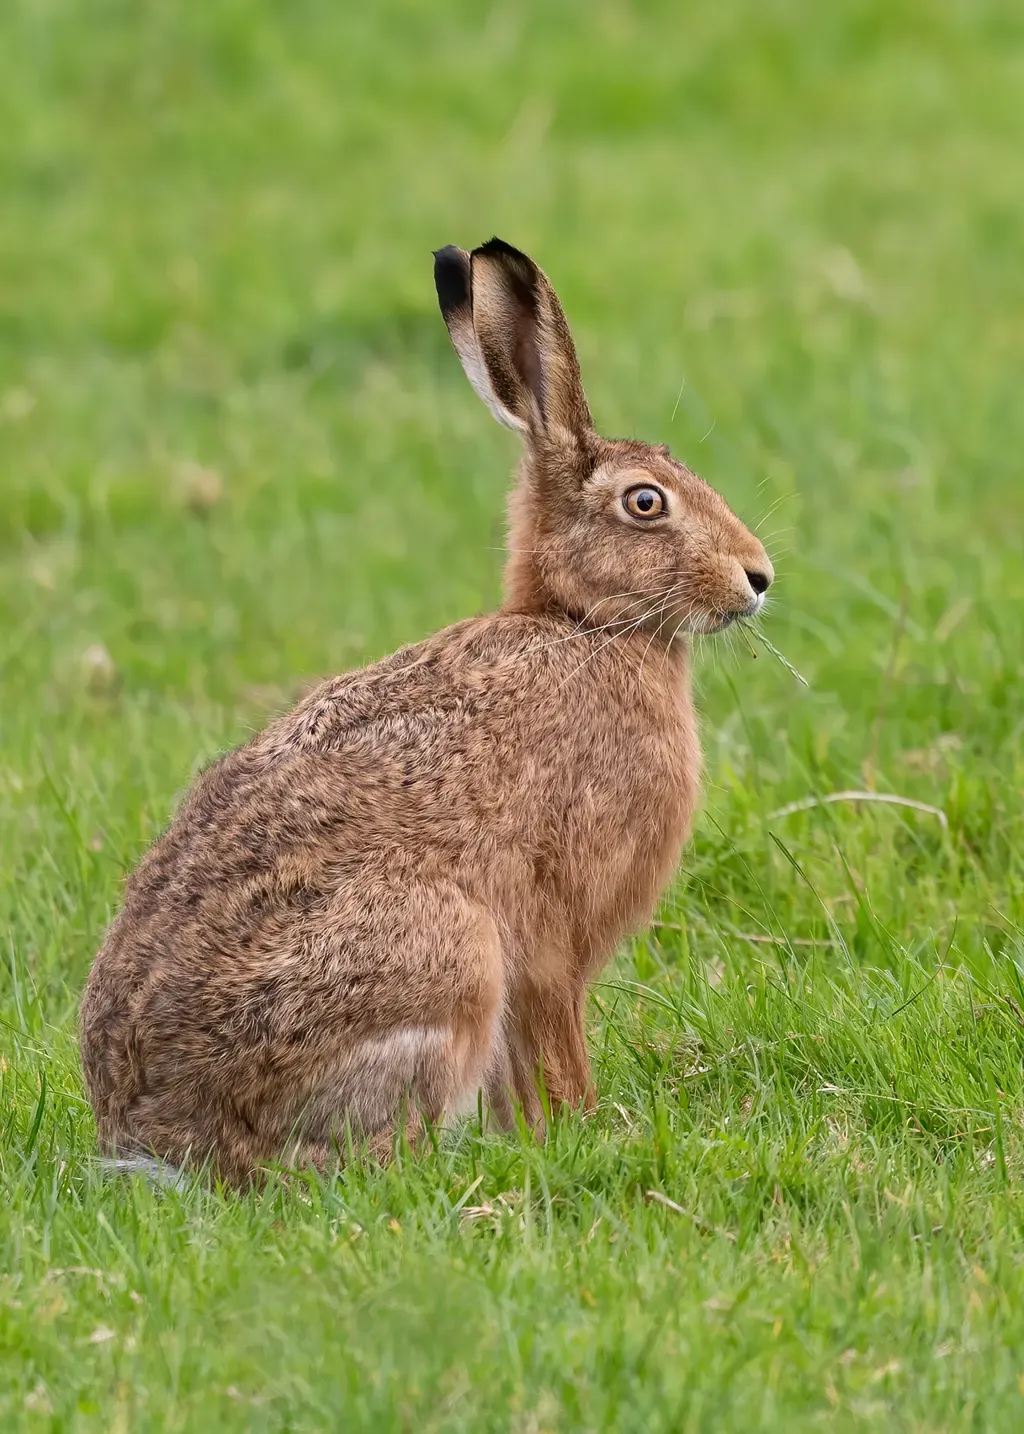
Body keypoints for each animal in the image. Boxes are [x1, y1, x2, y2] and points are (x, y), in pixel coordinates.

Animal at [79, 238, 773, 1187]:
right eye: (646, 502)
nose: (759, 575)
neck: (584, 623)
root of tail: (159, 1138)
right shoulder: (551, 940)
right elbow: (558, 1043)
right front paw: (588, 1131)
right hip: (447, 956)